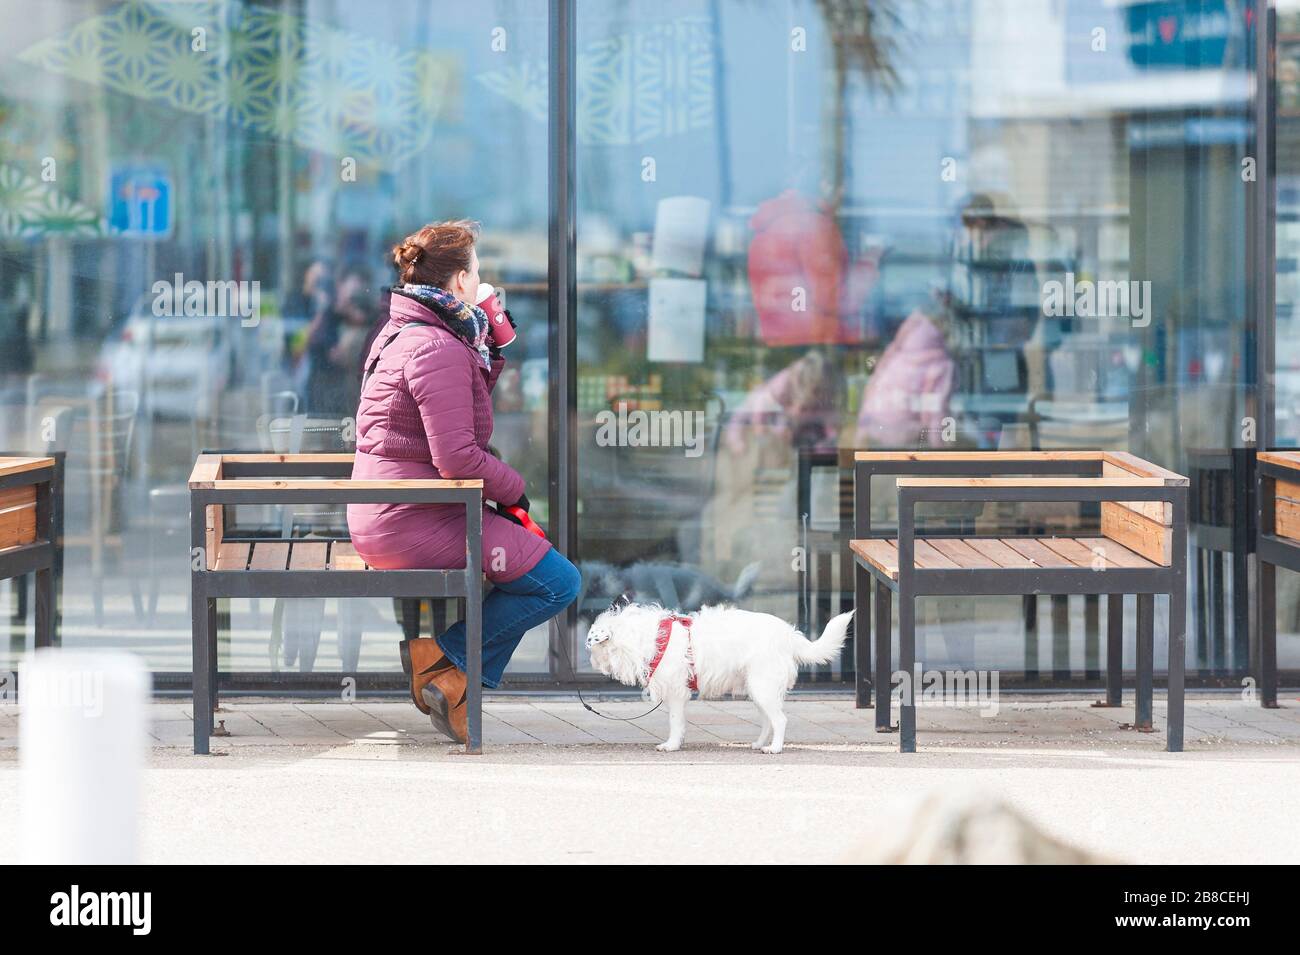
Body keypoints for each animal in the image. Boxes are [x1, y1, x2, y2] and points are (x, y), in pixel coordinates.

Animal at [587, 605, 852, 753]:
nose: (590, 662)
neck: (648, 637)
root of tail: (788, 635)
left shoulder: (676, 692)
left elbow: (675, 721)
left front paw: (671, 745)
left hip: (763, 687)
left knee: (780, 720)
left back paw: (775, 748)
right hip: (758, 690)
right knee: (768, 720)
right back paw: (759, 744)